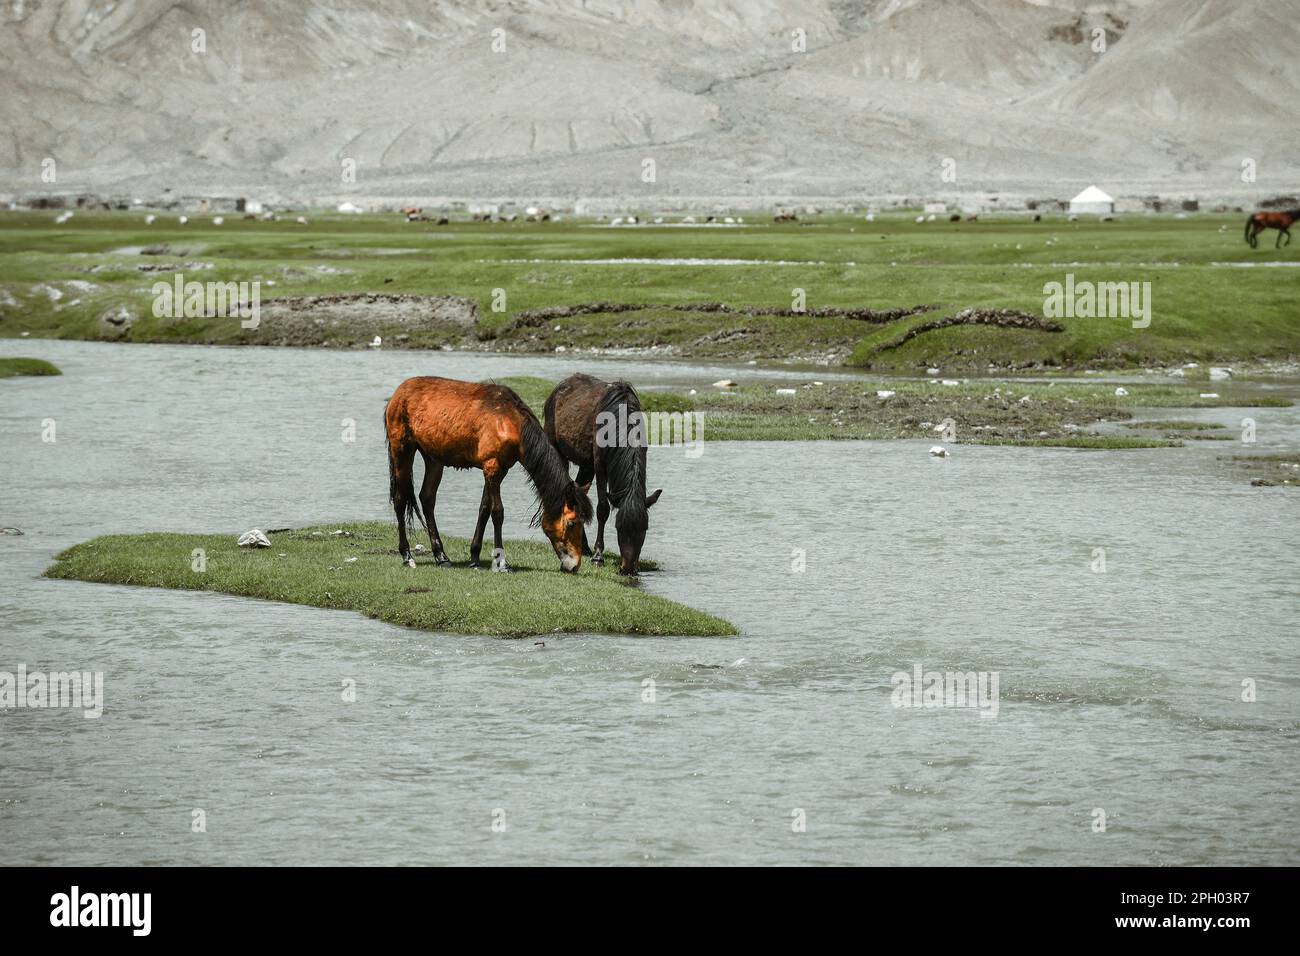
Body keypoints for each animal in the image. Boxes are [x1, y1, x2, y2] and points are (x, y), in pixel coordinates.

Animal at [382, 379, 592, 574]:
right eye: (571, 522)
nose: (574, 565)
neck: (510, 422)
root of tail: (396, 395)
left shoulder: (497, 470)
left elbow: (484, 509)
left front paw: (474, 557)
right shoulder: (492, 466)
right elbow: (497, 512)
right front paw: (502, 563)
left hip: (433, 458)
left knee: (427, 499)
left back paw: (441, 556)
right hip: (402, 449)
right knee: (400, 500)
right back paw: (407, 556)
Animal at [540, 374, 660, 574]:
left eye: (645, 529)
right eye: (619, 527)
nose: (628, 568)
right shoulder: (600, 465)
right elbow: (602, 509)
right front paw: (598, 556)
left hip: (586, 466)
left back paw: (584, 547)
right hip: (558, 450)